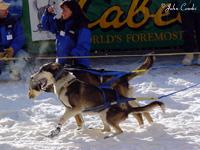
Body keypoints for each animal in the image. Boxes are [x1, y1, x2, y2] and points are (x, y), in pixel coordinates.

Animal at [28, 61, 166, 138]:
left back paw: (110, 136)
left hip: (107, 115)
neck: (64, 84)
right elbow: (76, 120)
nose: (31, 76)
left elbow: (62, 119)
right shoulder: (72, 109)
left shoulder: (75, 108)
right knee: (108, 128)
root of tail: (126, 108)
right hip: (102, 114)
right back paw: (98, 130)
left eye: (42, 70)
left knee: (119, 130)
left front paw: (55, 131)